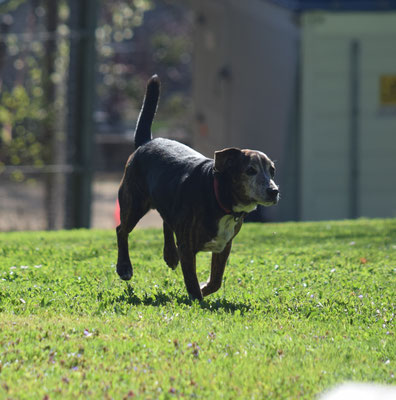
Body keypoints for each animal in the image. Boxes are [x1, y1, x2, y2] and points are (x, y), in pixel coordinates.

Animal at [116, 75, 280, 300]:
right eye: (250, 170)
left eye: (272, 171)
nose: (274, 191)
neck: (218, 195)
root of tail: (145, 142)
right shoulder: (187, 247)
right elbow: (191, 280)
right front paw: (197, 298)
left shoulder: (224, 246)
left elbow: (216, 280)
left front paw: (204, 288)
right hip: (133, 203)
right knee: (121, 230)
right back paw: (124, 267)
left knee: (166, 222)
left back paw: (170, 255)